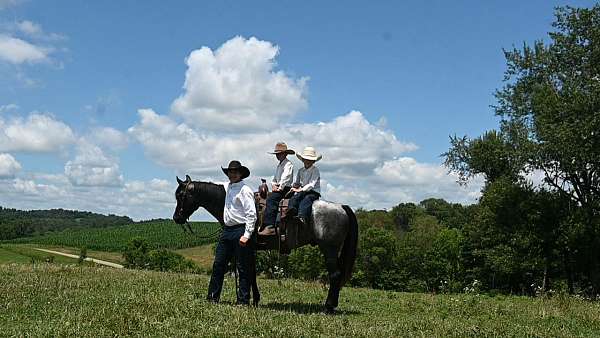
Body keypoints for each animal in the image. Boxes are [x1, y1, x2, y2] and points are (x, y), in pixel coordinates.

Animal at [175, 176, 360, 312]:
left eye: (181, 195)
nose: (176, 218)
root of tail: (342, 207)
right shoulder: (251, 249)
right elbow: (251, 272)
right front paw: (255, 299)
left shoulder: (245, 247)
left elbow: (247, 271)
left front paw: (250, 299)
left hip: (329, 249)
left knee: (335, 275)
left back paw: (328, 307)